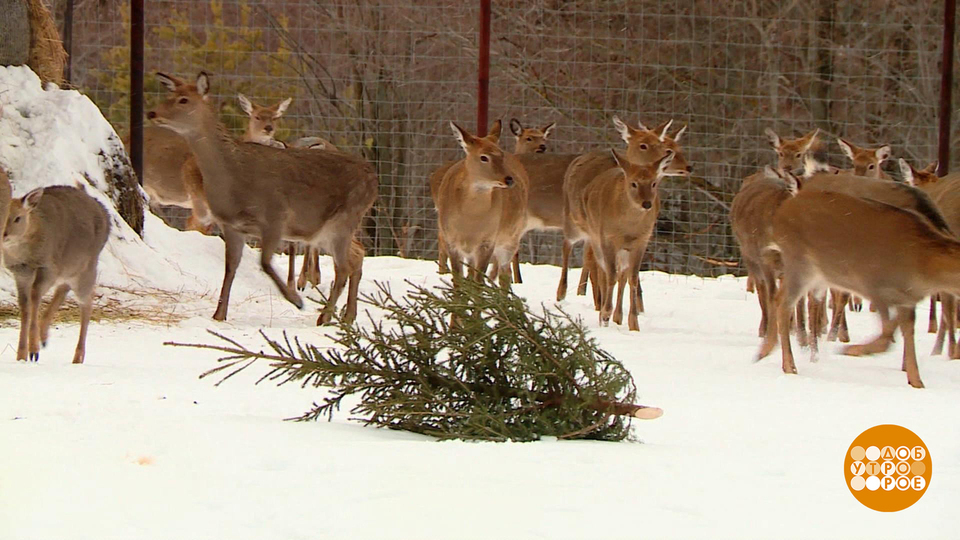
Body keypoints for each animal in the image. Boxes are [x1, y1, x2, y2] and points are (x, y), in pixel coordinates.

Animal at [2, 186, 109, 362]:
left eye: (18, 218)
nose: (4, 234)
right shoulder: (20, 272)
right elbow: (25, 306)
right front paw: (21, 355)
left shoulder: (48, 267)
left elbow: (35, 297)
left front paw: (33, 351)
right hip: (70, 267)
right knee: (64, 288)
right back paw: (44, 337)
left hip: (87, 266)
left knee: (87, 302)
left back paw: (78, 357)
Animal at [148, 71, 376, 324]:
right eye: (170, 95)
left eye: (184, 100)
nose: (152, 113)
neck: (235, 177)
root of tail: (373, 176)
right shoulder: (232, 225)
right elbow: (231, 268)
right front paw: (219, 315)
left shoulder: (276, 216)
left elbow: (264, 263)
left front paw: (295, 299)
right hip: (327, 229)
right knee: (357, 255)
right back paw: (347, 316)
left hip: (344, 219)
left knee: (344, 266)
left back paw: (325, 317)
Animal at [560, 115, 692, 308]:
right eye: (643, 145)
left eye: (662, 144)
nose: (688, 167)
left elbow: (627, 272)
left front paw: (638, 307)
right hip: (574, 217)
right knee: (571, 248)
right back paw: (567, 294)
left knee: (589, 256)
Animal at [568, 150, 672, 332]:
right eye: (633, 183)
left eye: (653, 183)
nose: (647, 203)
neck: (628, 227)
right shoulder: (607, 238)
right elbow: (610, 275)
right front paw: (605, 314)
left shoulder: (641, 242)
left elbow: (633, 278)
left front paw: (634, 323)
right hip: (596, 237)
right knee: (603, 271)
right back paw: (604, 311)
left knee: (621, 274)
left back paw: (618, 316)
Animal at [752, 189, 960, 388]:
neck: (924, 263)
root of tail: (780, 212)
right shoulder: (874, 285)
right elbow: (886, 336)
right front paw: (851, 350)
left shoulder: (907, 299)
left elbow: (903, 332)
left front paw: (916, 382)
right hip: (800, 263)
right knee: (783, 303)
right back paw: (789, 366)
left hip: (815, 275)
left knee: (781, 299)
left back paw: (766, 352)